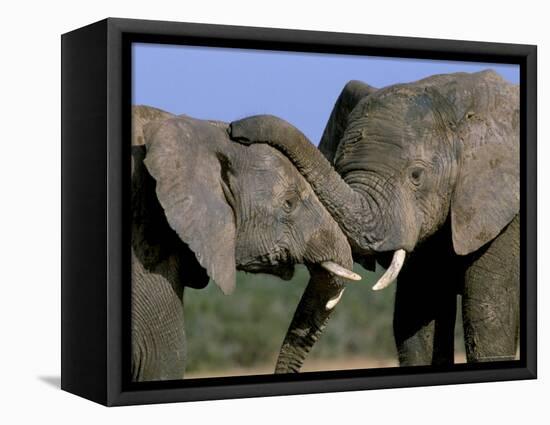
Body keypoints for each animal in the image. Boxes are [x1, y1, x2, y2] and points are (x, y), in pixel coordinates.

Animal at [232, 69, 520, 364]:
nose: (237, 130)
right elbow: (416, 315)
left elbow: (488, 318)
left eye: (416, 176)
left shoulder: (502, 217)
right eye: (339, 168)